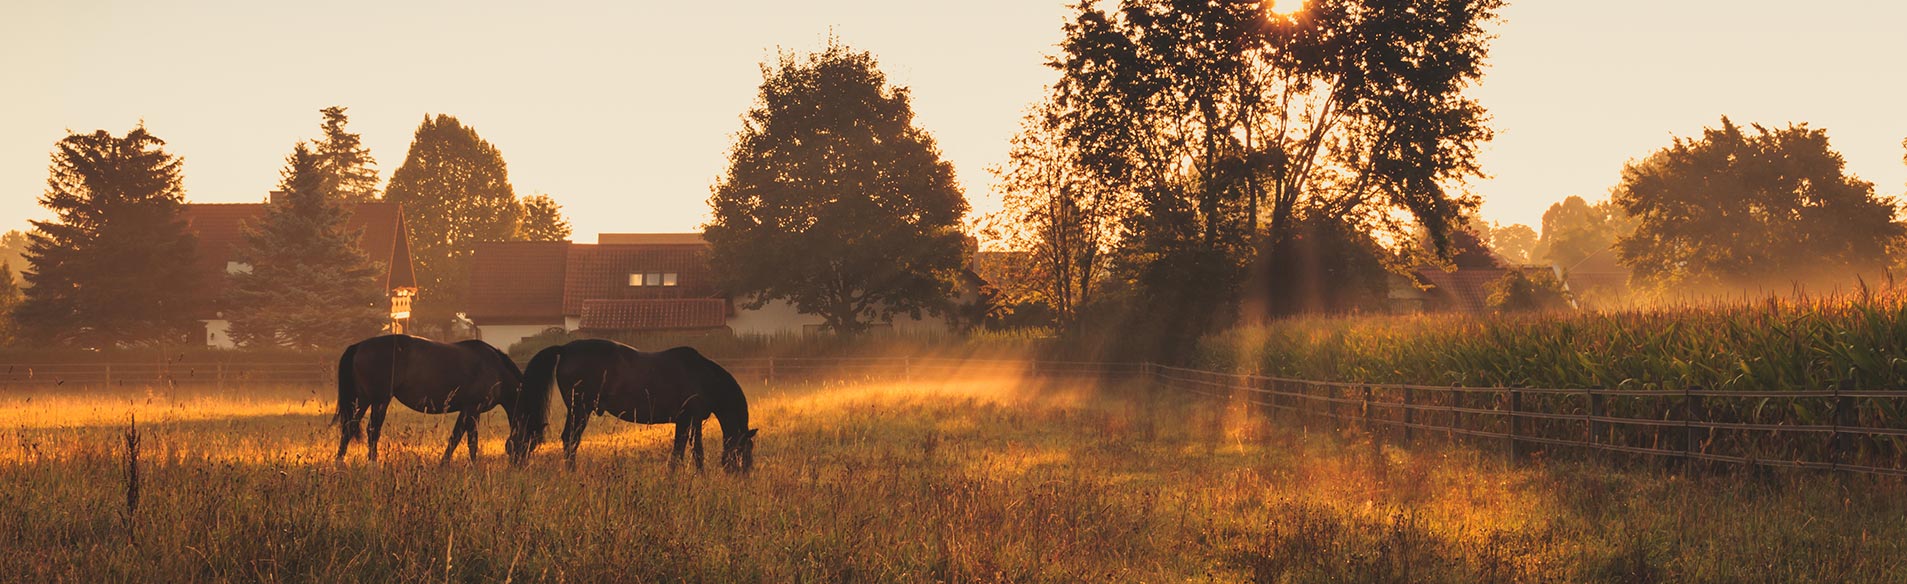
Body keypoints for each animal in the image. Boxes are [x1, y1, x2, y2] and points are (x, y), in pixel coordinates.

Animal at [328, 335, 549, 463]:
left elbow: (456, 437)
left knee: (348, 428)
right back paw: (372, 463)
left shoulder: (467, 410)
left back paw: (340, 462)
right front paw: (473, 465)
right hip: (379, 400)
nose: (519, 465)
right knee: (372, 430)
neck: (495, 369)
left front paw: (446, 464)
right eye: (530, 441)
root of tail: (359, 345)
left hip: (363, 400)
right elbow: (470, 440)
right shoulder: (473, 408)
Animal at [526, 339, 762, 471]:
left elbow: (692, 452)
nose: (744, 473)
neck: (703, 377)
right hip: (580, 410)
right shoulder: (686, 420)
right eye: (746, 449)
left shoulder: (691, 420)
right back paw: (571, 471)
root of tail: (565, 349)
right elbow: (683, 452)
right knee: (570, 439)